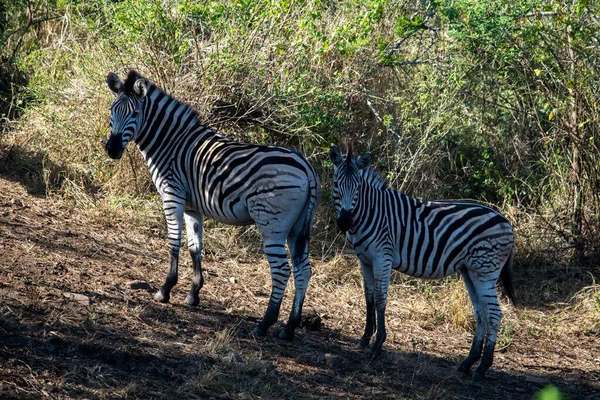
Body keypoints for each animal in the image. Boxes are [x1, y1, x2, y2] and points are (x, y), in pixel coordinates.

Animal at [105, 70, 322, 340]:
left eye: (134, 114)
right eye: (112, 110)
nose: (111, 150)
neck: (171, 143)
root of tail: (307, 167)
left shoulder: (172, 195)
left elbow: (173, 244)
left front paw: (165, 290)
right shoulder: (192, 207)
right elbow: (194, 247)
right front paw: (193, 294)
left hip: (272, 223)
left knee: (282, 270)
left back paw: (265, 323)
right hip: (298, 227)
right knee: (304, 270)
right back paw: (290, 326)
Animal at [328, 144, 516, 382]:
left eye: (358, 187)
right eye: (336, 183)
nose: (344, 222)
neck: (369, 212)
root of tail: (505, 220)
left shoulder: (382, 256)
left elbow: (380, 298)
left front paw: (378, 344)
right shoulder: (365, 260)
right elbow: (368, 296)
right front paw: (364, 338)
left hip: (485, 270)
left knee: (494, 314)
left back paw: (482, 368)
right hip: (470, 271)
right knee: (480, 312)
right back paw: (467, 363)